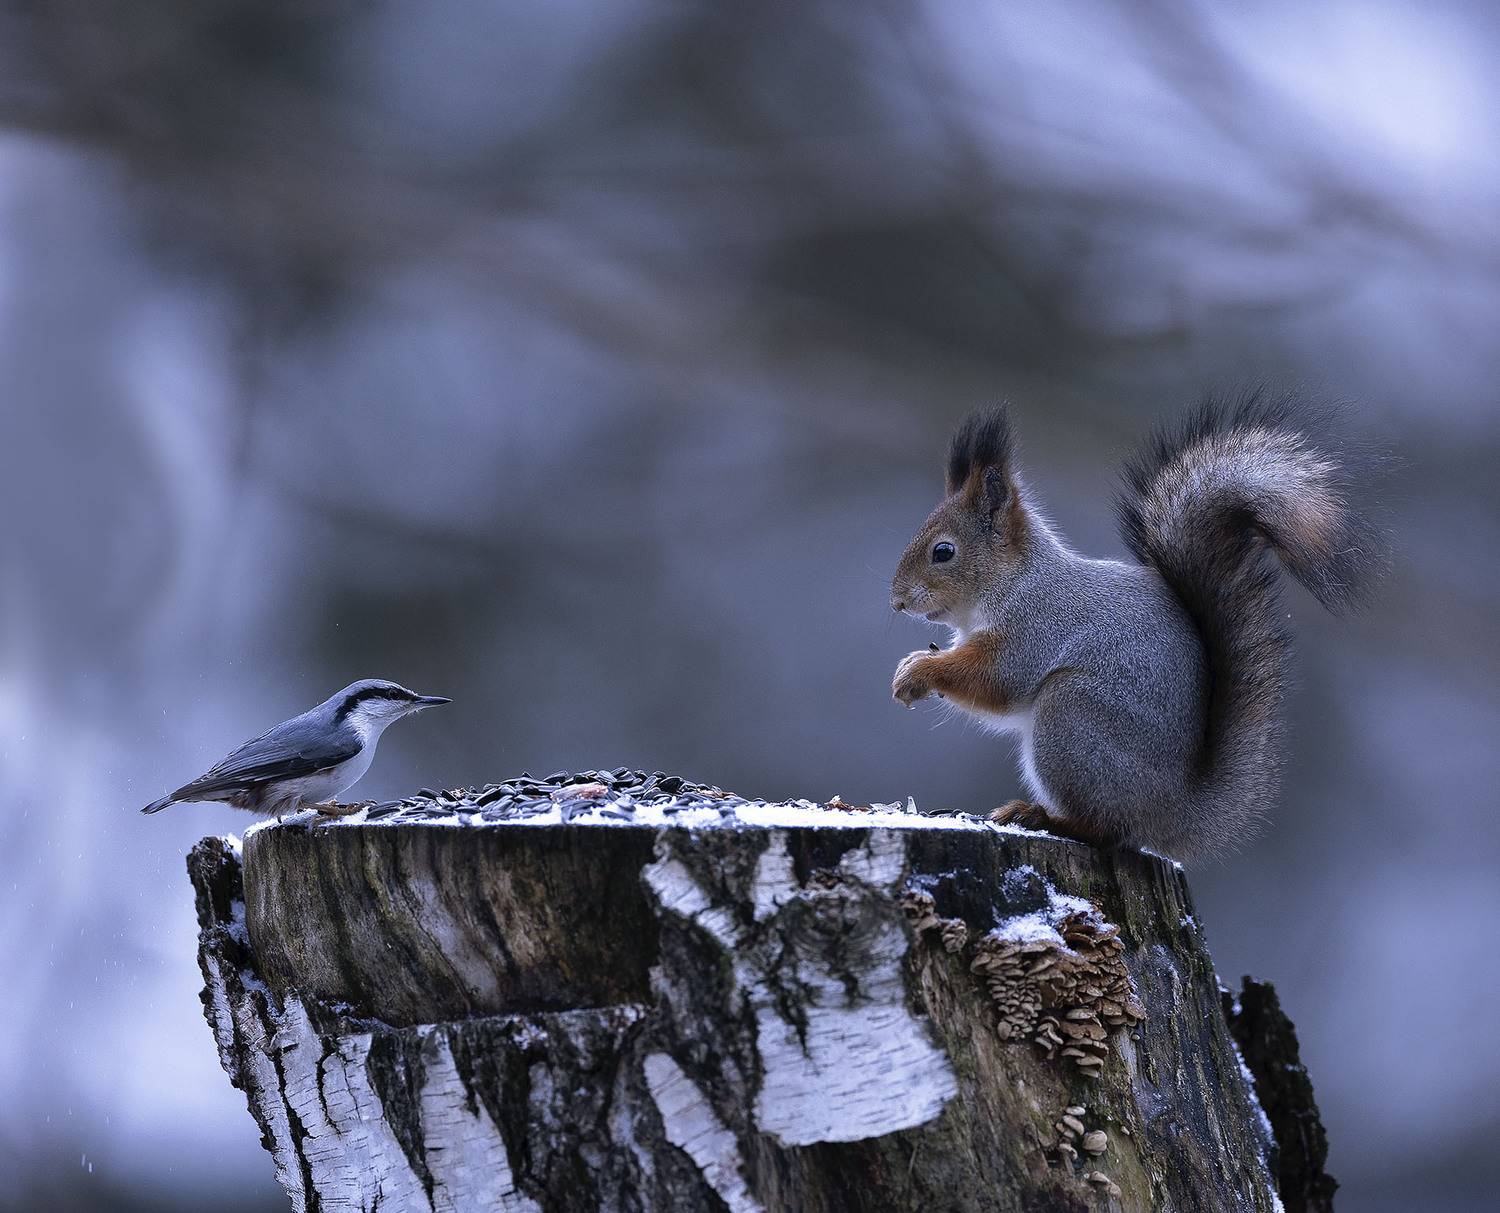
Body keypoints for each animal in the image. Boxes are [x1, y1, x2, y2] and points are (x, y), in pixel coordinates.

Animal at [890, 394, 1384, 859]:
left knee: (1107, 831)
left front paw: (918, 671)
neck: (1013, 580)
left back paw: (1041, 816)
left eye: (943, 552)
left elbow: (996, 679)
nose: (896, 600)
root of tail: (1172, 809)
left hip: (1071, 720)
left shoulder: (1036, 627)